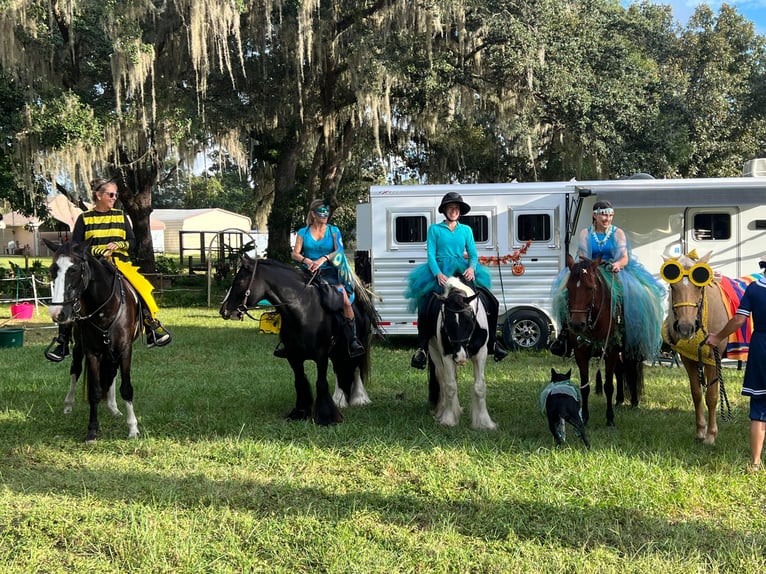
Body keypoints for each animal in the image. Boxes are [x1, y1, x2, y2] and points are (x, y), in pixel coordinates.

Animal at [43, 236, 143, 444]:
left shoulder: (125, 350)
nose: (57, 313)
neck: (104, 308)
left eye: (74, 270)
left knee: (112, 373)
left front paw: (133, 428)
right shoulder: (92, 352)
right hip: (80, 348)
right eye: (53, 269)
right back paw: (68, 405)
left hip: (112, 352)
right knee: (75, 370)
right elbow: (95, 391)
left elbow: (126, 388)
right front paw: (92, 431)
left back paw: (114, 408)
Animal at [219, 256, 378, 428]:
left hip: (354, 347)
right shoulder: (293, 356)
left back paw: (359, 399)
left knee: (355, 369)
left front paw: (326, 417)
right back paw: (340, 400)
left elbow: (321, 383)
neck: (303, 311)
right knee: (339, 370)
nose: (224, 311)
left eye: (240, 281)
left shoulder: (321, 356)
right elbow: (300, 381)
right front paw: (300, 413)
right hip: (337, 352)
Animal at [426, 276, 498, 430]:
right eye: (447, 322)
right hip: (433, 351)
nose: (460, 357)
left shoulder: (481, 353)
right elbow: (450, 386)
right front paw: (448, 419)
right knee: (442, 378)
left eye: (469, 319)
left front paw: (485, 422)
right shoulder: (447, 355)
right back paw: (441, 411)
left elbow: (479, 386)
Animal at [568, 256, 644, 428]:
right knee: (620, 371)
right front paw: (585, 418)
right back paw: (619, 401)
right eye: (568, 287)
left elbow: (608, 386)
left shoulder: (611, 351)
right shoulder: (580, 353)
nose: (577, 324)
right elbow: (585, 387)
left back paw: (634, 402)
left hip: (630, 350)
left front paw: (610, 419)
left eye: (590, 288)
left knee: (631, 371)